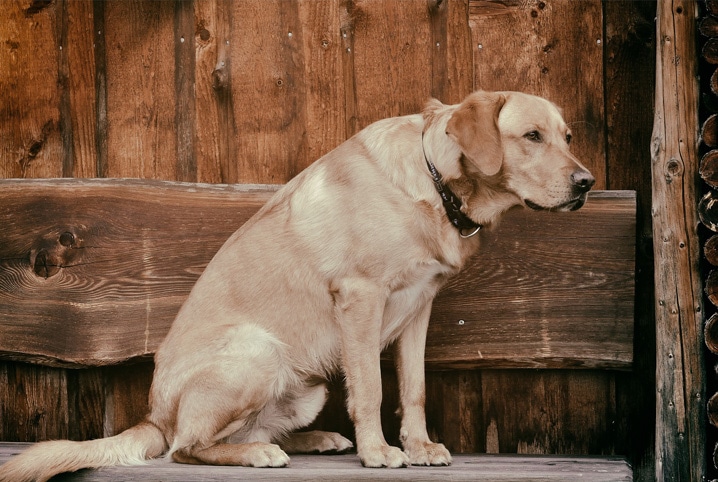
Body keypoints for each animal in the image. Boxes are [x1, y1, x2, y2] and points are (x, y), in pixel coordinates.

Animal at [0, 89, 596, 478]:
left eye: (567, 137)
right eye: (532, 136)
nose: (587, 183)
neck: (434, 182)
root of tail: (154, 415)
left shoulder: (419, 307)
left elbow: (414, 388)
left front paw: (419, 445)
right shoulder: (361, 297)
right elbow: (372, 390)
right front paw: (379, 452)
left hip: (306, 386)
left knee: (248, 429)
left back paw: (313, 439)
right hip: (258, 350)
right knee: (188, 447)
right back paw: (257, 455)